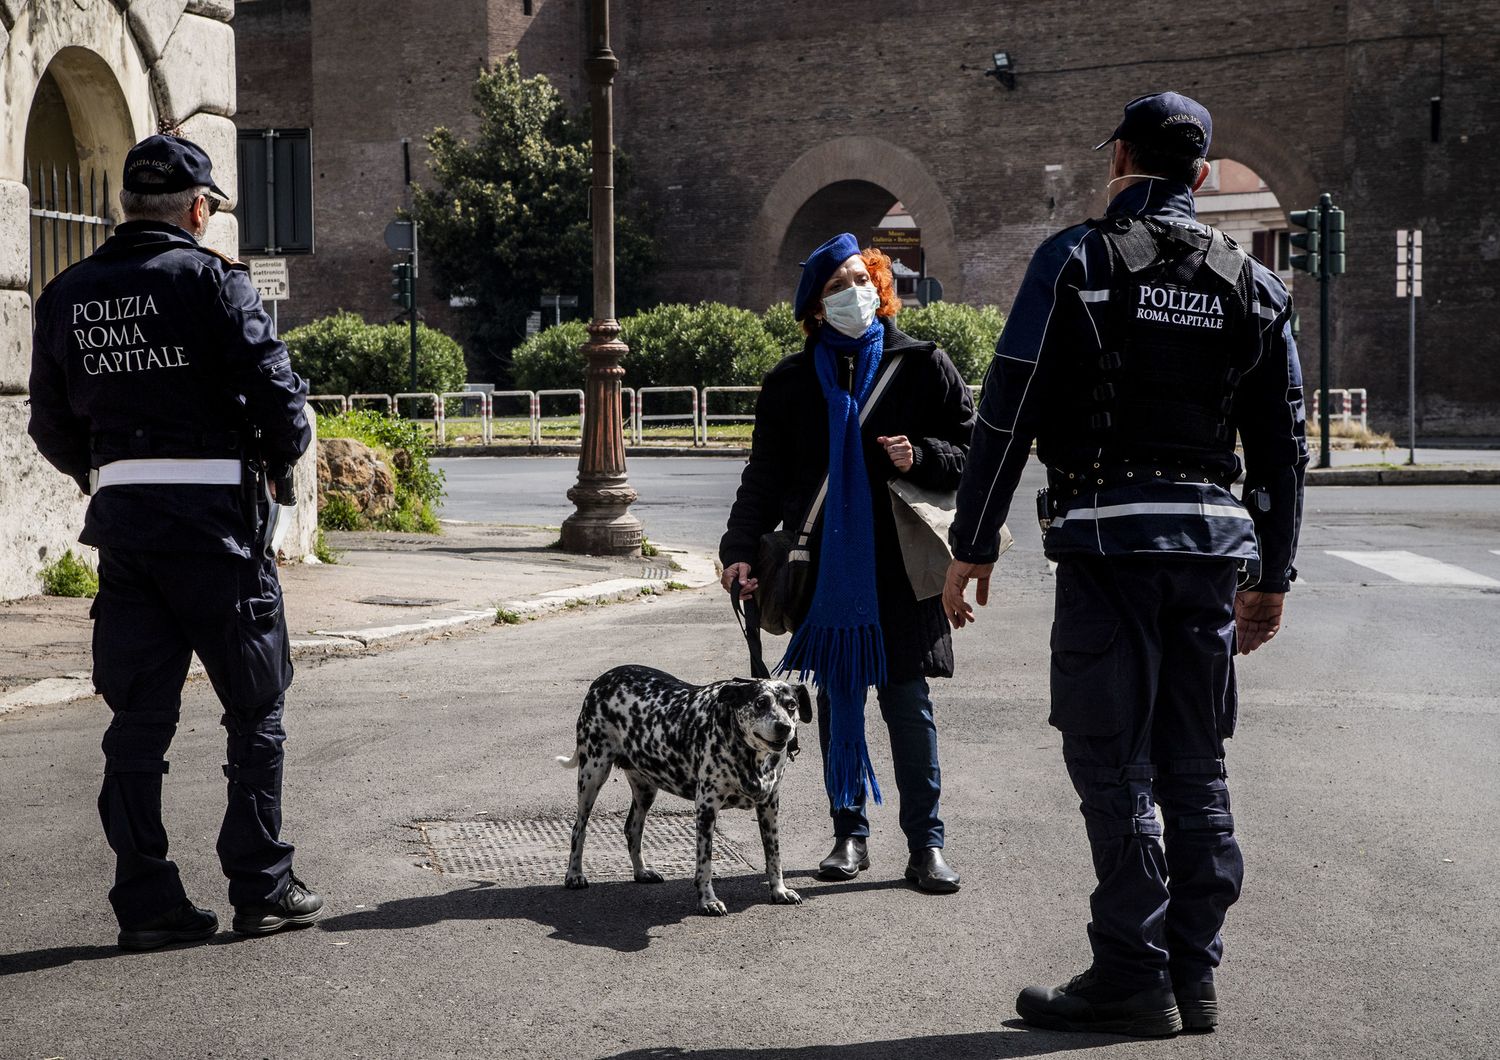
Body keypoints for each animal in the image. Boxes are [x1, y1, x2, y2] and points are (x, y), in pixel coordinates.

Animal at [561, 668, 816, 917]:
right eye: (761, 702)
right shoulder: (706, 809)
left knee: (632, 828)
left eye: (791, 705)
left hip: (645, 789)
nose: (784, 727)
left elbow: (773, 855)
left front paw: (779, 890)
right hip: (592, 775)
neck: (748, 754)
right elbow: (705, 865)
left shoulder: (769, 806)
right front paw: (708, 901)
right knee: (579, 829)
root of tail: (602, 679)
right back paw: (574, 874)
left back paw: (642, 871)